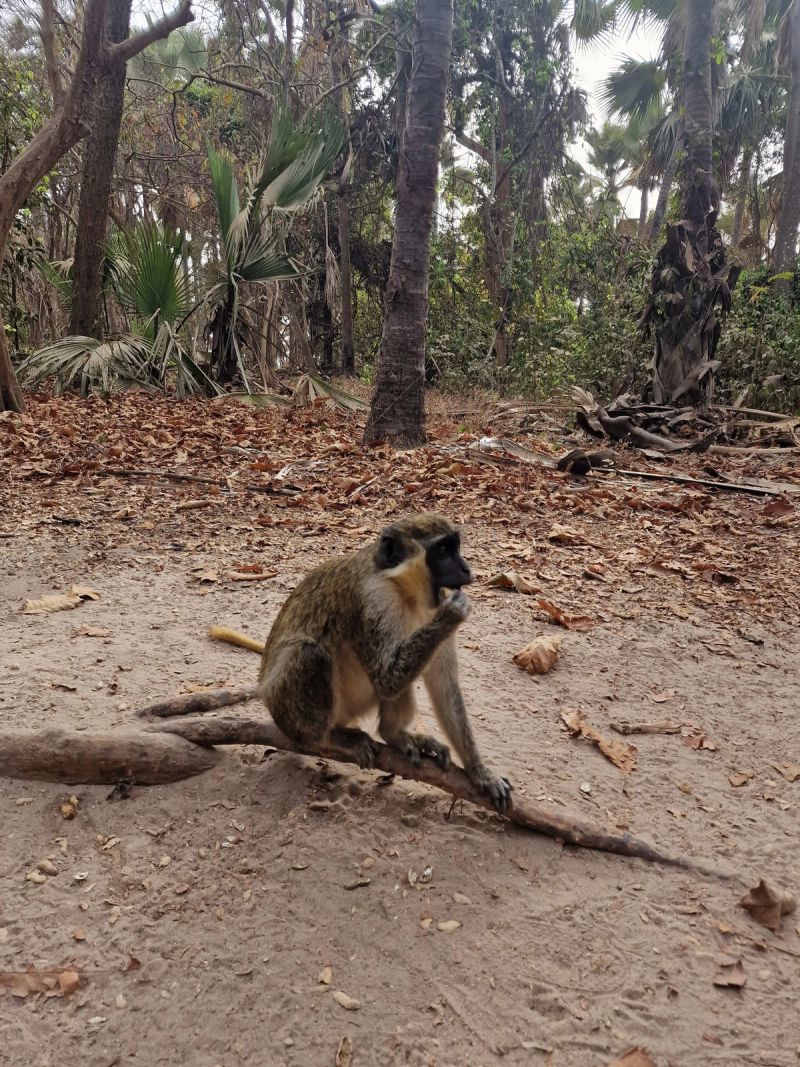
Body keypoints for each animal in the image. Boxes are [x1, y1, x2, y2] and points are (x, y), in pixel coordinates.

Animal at [211, 515, 512, 811]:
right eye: (442, 551)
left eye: (455, 548)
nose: (466, 568)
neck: (403, 590)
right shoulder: (373, 599)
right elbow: (387, 678)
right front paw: (453, 612)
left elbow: (443, 685)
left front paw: (481, 774)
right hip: (288, 710)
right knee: (310, 653)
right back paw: (328, 738)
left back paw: (394, 734)